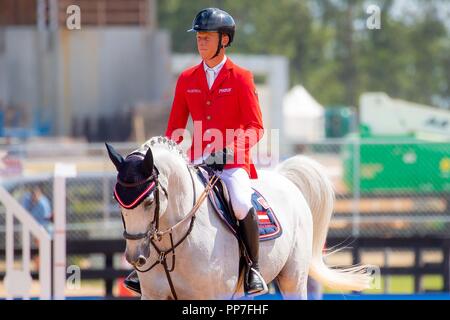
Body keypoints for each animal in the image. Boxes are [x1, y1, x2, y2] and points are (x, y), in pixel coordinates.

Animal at [106, 138, 372, 300]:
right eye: (118, 201)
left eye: (149, 201)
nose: (135, 257)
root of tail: (283, 178)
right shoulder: (154, 295)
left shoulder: (216, 295)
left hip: (293, 279)